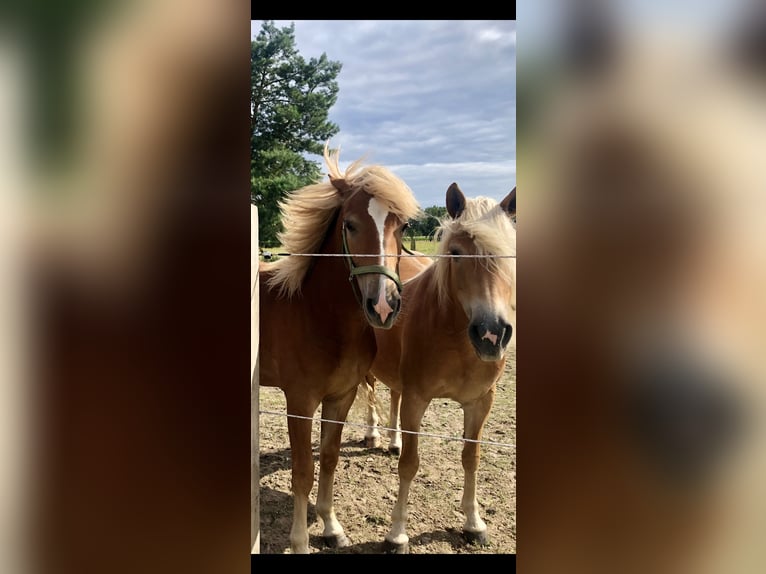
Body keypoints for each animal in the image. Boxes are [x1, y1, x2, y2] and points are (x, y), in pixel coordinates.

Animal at [258, 143, 420, 554]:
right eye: (349, 224)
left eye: (403, 226)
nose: (383, 305)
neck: (318, 316)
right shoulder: (299, 402)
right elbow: (302, 471)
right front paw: (300, 541)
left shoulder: (341, 396)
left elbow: (329, 459)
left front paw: (331, 526)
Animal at [368, 183, 516, 553]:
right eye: (456, 253)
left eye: (510, 253)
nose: (491, 333)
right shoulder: (417, 399)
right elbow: (409, 465)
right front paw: (397, 533)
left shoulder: (481, 403)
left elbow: (471, 457)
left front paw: (474, 523)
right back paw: (373, 435)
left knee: (391, 395)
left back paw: (393, 440)